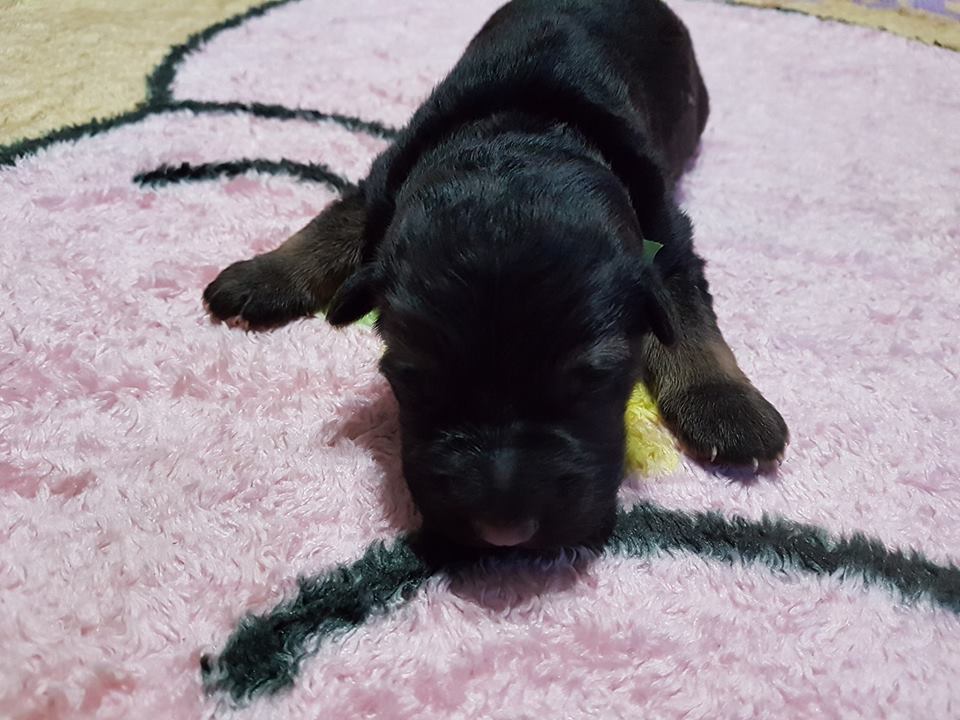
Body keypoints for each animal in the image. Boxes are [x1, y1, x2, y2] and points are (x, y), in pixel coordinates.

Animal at [204, 0, 789, 550]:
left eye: (594, 380)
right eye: (413, 379)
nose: (504, 533)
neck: (524, 130)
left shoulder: (670, 235)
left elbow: (690, 318)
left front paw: (727, 405)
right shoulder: (382, 184)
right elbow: (335, 220)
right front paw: (259, 275)